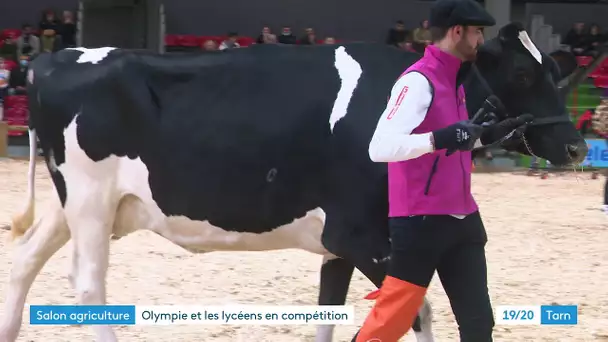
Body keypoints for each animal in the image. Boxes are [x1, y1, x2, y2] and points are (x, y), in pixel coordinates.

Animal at [0, 22, 592, 340]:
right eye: (522, 73)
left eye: (554, 69)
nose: (576, 146)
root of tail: (55, 56)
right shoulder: (362, 235)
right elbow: (416, 310)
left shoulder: (339, 242)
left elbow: (330, 311)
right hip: (90, 199)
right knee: (87, 284)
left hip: (76, 203)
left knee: (25, 258)